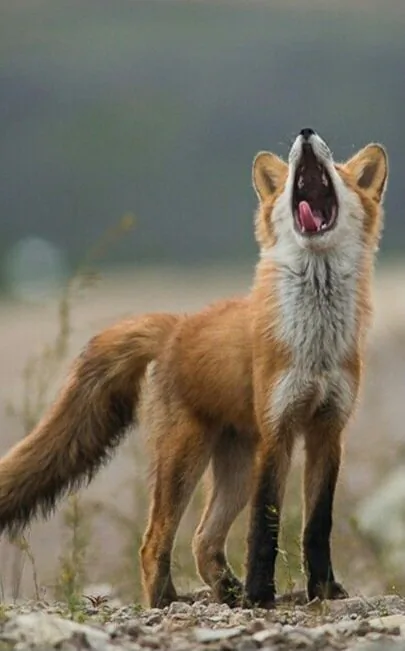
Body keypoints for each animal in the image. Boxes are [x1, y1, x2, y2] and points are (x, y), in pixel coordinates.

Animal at [0, 128, 388, 609]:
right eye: (284, 184)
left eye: (335, 168)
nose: (305, 132)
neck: (314, 345)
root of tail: (176, 325)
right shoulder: (277, 432)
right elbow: (265, 527)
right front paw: (261, 596)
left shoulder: (328, 430)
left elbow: (318, 525)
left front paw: (324, 591)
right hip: (187, 457)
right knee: (154, 543)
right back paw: (168, 602)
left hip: (235, 469)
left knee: (203, 540)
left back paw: (223, 593)